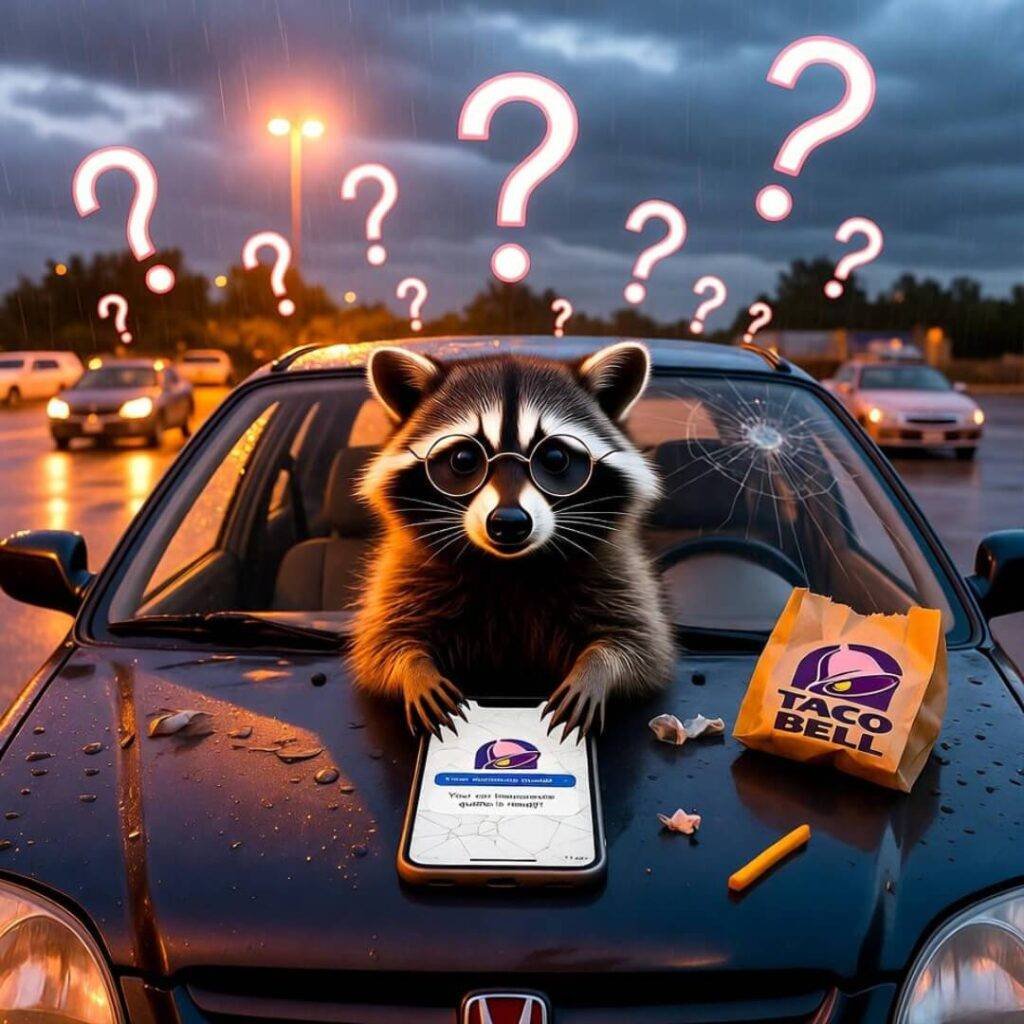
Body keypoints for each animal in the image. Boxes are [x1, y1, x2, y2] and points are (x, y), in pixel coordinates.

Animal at [351, 341, 674, 738]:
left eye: (554, 458)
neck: (510, 567)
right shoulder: (406, 571)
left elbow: (640, 647)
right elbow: (383, 645)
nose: (508, 523)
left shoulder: (616, 570)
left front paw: (595, 670)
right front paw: (415, 670)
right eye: (464, 459)